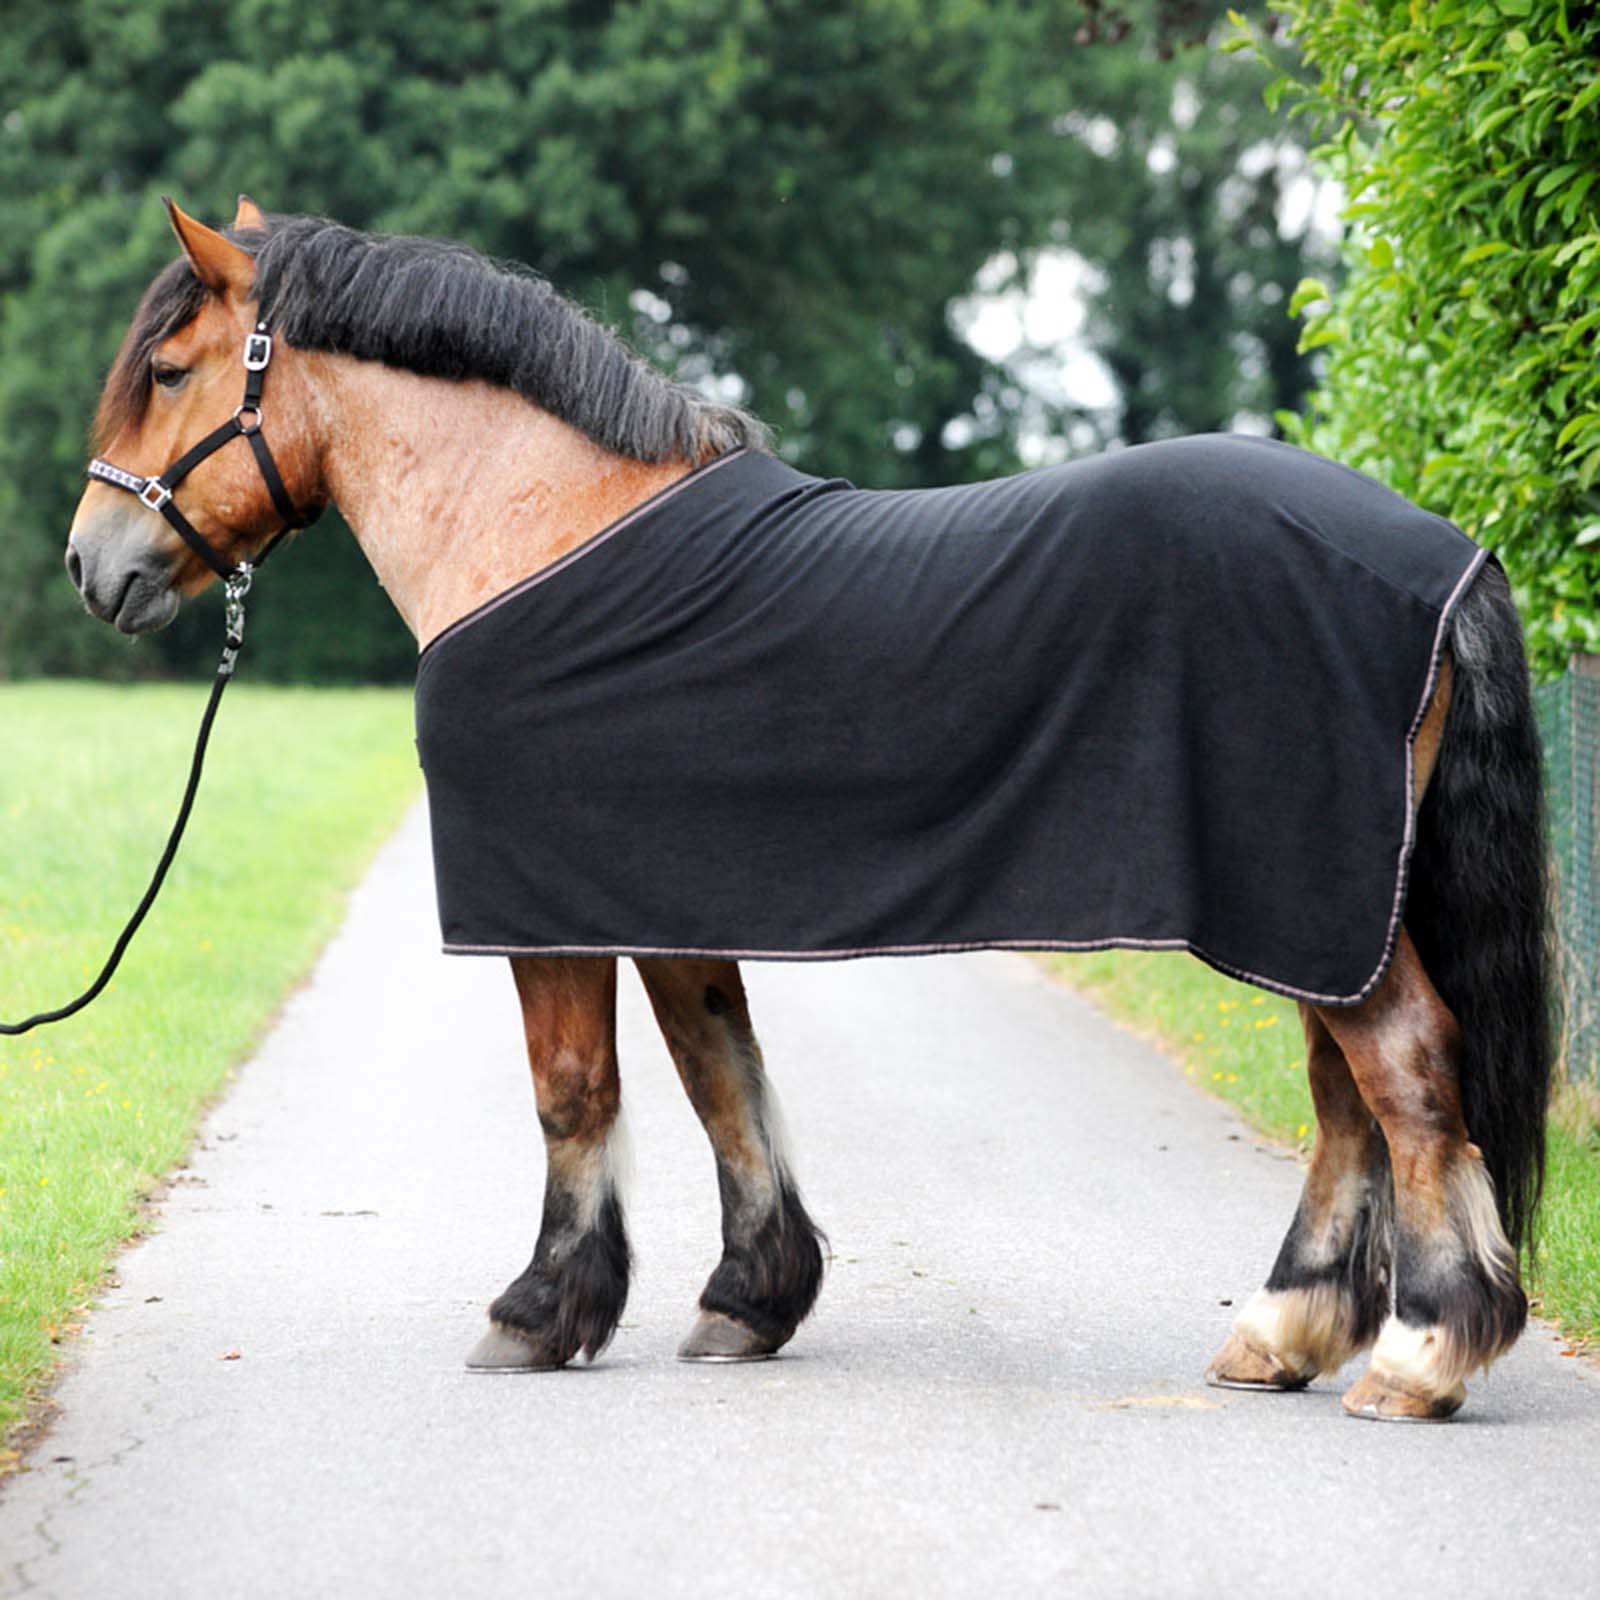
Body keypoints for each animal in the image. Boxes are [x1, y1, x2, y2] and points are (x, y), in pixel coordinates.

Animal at [65, 198, 1553, 1423]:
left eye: (171, 372)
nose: (92, 565)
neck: (542, 528)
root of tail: (1443, 551)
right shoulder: (668, 903)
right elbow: (723, 1076)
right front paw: (749, 1300)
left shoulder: (546, 913)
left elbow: (574, 1093)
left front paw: (539, 1312)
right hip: (1321, 913)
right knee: (1347, 1101)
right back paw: (1283, 1333)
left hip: (1314, 908)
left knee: (1405, 1074)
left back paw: (1420, 1355)